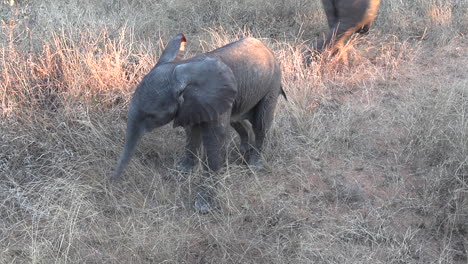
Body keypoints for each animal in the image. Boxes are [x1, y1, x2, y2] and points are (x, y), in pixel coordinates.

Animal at [112, 34, 286, 213]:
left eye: (151, 116)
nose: (112, 181)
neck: (185, 66)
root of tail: (267, 48)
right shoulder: (195, 105)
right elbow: (192, 132)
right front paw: (182, 171)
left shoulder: (213, 97)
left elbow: (215, 141)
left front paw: (203, 207)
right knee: (237, 121)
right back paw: (244, 150)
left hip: (272, 84)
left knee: (261, 123)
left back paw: (254, 165)